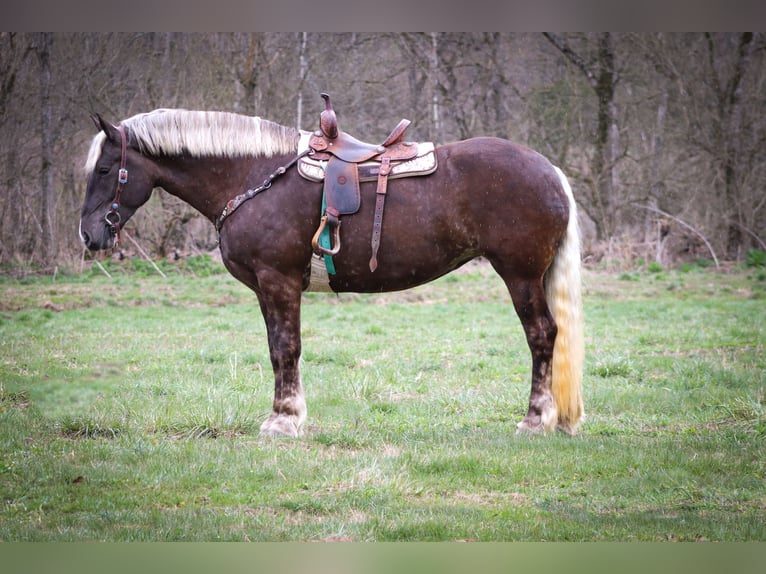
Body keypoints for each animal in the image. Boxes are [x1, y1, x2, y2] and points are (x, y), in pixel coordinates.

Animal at [81, 107, 584, 436]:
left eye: (105, 169)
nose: (89, 234)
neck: (254, 176)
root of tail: (549, 170)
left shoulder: (278, 281)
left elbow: (286, 348)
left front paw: (283, 420)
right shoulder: (266, 289)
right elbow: (277, 348)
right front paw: (286, 414)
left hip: (520, 275)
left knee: (541, 336)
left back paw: (535, 420)